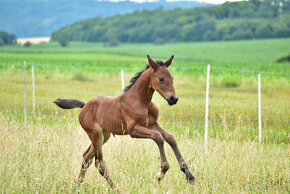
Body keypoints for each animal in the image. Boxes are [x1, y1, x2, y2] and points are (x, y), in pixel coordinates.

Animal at [53, 55, 195, 191]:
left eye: (172, 77)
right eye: (161, 78)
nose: (173, 99)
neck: (142, 101)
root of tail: (84, 106)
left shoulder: (153, 124)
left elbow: (170, 138)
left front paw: (189, 176)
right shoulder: (133, 130)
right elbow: (158, 137)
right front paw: (161, 173)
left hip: (104, 135)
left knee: (86, 157)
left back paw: (78, 186)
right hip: (96, 135)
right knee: (99, 163)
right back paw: (116, 189)